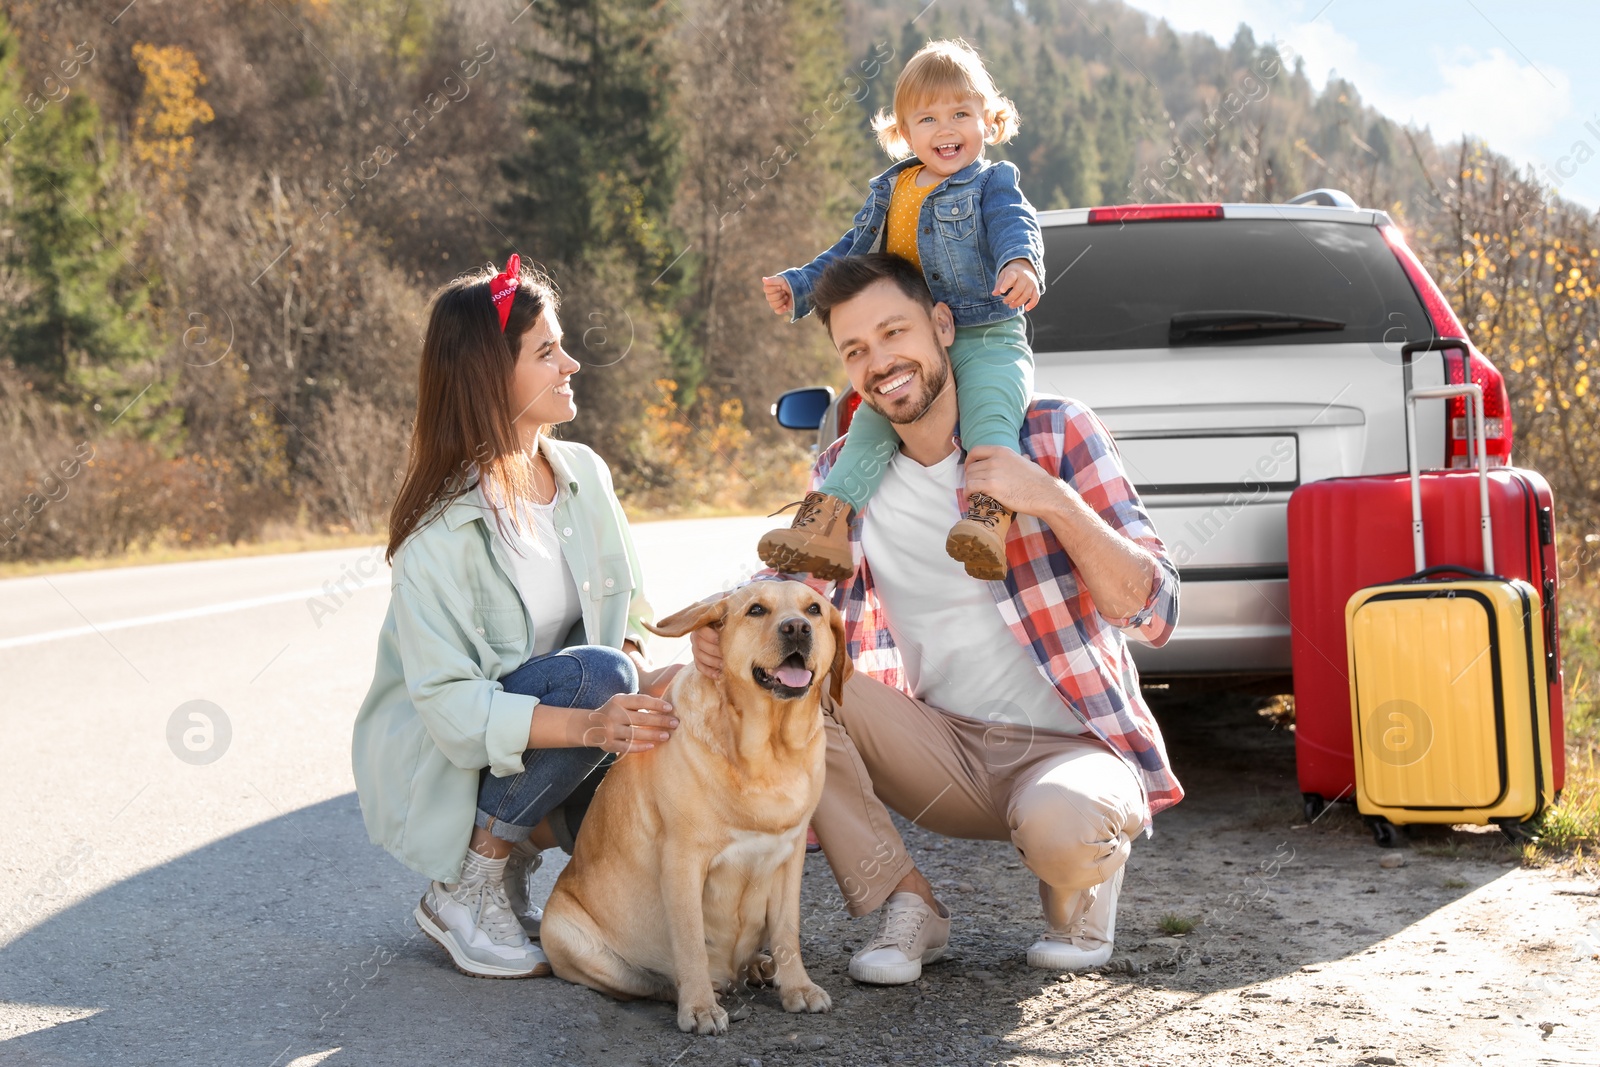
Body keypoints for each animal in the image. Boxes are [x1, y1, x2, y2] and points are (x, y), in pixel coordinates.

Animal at [537, 585, 851, 1036]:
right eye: (756, 609)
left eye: (815, 609)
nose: (797, 628)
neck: (768, 753)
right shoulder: (683, 860)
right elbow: (689, 941)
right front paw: (700, 1006)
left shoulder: (790, 858)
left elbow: (788, 931)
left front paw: (798, 988)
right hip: (567, 935)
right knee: (650, 982)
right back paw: (702, 988)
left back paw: (759, 966)